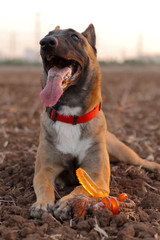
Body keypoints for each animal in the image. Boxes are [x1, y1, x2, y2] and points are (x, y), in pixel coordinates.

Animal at [30, 23, 160, 219]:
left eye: (74, 37)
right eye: (48, 34)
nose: (45, 42)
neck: (70, 116)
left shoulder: (96, 175)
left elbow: (81, 188)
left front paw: (67, 202)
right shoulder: (44, 169)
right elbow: (44, 185)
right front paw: (42, 204)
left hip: (124, 152)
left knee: (142, 162)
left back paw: (156, 167)